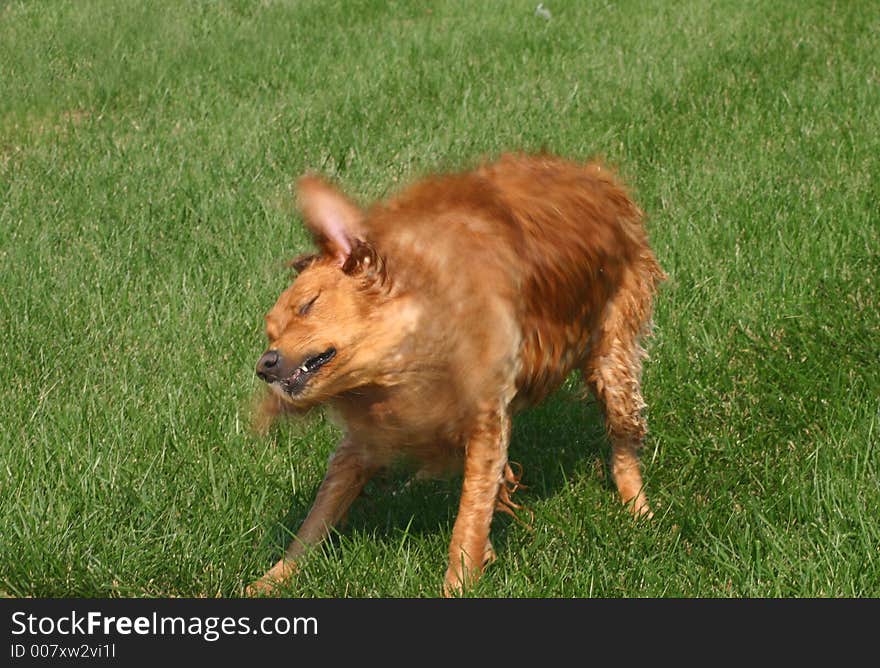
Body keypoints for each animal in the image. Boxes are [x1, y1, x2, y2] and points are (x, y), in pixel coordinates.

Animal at [246, 153, 660, 596]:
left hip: (612, 358)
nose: (264, 364)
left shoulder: (484, 417)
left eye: (308, 305)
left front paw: (460, 581)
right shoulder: (365, 437)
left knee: (624, 441)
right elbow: (316, 518)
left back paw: (640, 511)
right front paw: (271, 580)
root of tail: (596, 176)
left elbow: (469, 518)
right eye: (270, 331)